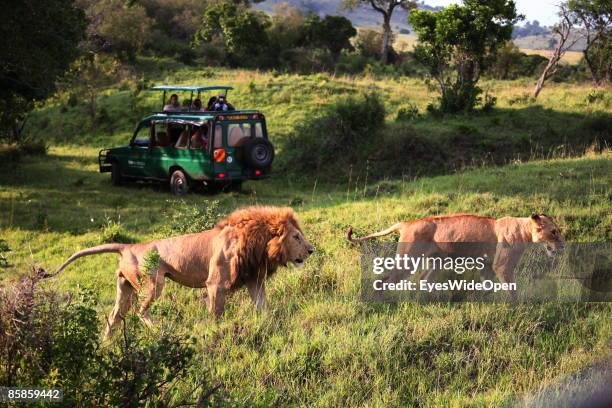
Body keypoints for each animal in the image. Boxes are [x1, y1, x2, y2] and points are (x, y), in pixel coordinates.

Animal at [54, 207, 314, 338]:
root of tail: (127, 246)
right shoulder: (215, 284)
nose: (312, 250)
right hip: (153, 283)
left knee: (114, 317)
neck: (257, 242)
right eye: (296, 237)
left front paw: (270, 325)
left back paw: (105, 345)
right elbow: (216, 314)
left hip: (125, 288)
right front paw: (214, 333)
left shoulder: (253, 279)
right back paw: (161, 330)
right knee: (140, 311)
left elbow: (263, 308)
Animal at [346, 215, 568, 288]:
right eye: (554, 232)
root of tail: (407, 222)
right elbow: (511, 289)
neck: (524, 230)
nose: (564, 245)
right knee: (384, 281)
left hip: (437, 261)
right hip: (407, 260)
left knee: (424, 280)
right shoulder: (501, 266)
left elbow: (486, 286)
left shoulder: (487, 266)